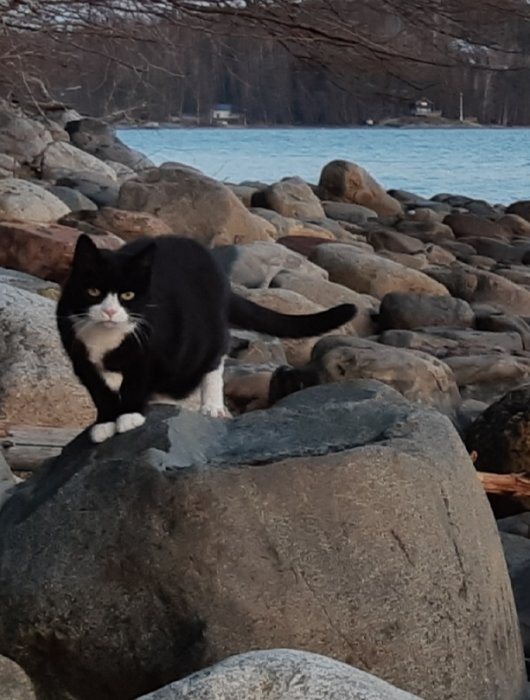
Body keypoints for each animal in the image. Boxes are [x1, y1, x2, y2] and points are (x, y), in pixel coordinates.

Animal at [56, 235, 354, 442]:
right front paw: (105, 423)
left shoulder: (149, 352)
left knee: (214, 356)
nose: (109, 311)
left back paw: (212, 406)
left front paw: (129, 415)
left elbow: (136, 381)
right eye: (93, 291)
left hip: (203, 335)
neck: (105, 337)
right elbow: (99, 391)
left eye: (128, 295)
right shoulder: (80, 358)